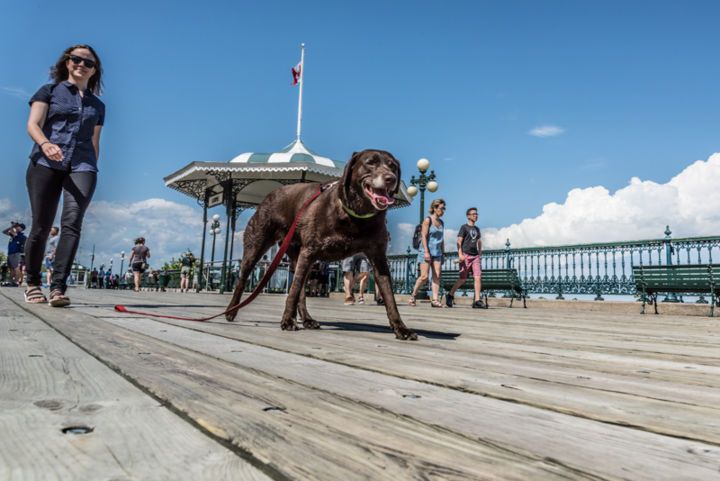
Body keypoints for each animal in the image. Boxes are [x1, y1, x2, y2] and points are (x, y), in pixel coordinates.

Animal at [225, 148, 416, 340]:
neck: (355, 215)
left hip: (301, 258)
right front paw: (287, 320)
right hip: (257, 246)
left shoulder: (378, 256)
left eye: (393, 166)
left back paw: (307, 319)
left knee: (301, 289)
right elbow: (293, 291)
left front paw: (401, 328)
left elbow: (389, 296)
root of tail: (270, 194)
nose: (391, 178)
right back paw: (231, 311)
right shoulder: (309, 250)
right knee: (243, 280)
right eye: (371, 162)